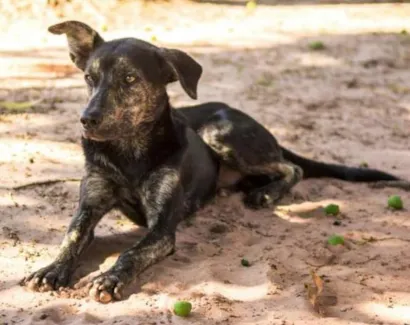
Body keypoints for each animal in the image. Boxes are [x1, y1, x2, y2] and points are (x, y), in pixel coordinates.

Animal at [20, 20, 410, 302]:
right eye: (89, 78)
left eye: (130, 79)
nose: (87, 120)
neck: (129, 152)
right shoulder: (91, 202)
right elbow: (72, 236)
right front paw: (52, 269)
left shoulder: (162, 228)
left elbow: (131, 252)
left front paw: (111, 278)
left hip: (220, 132)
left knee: (291, 166)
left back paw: (266, 193)